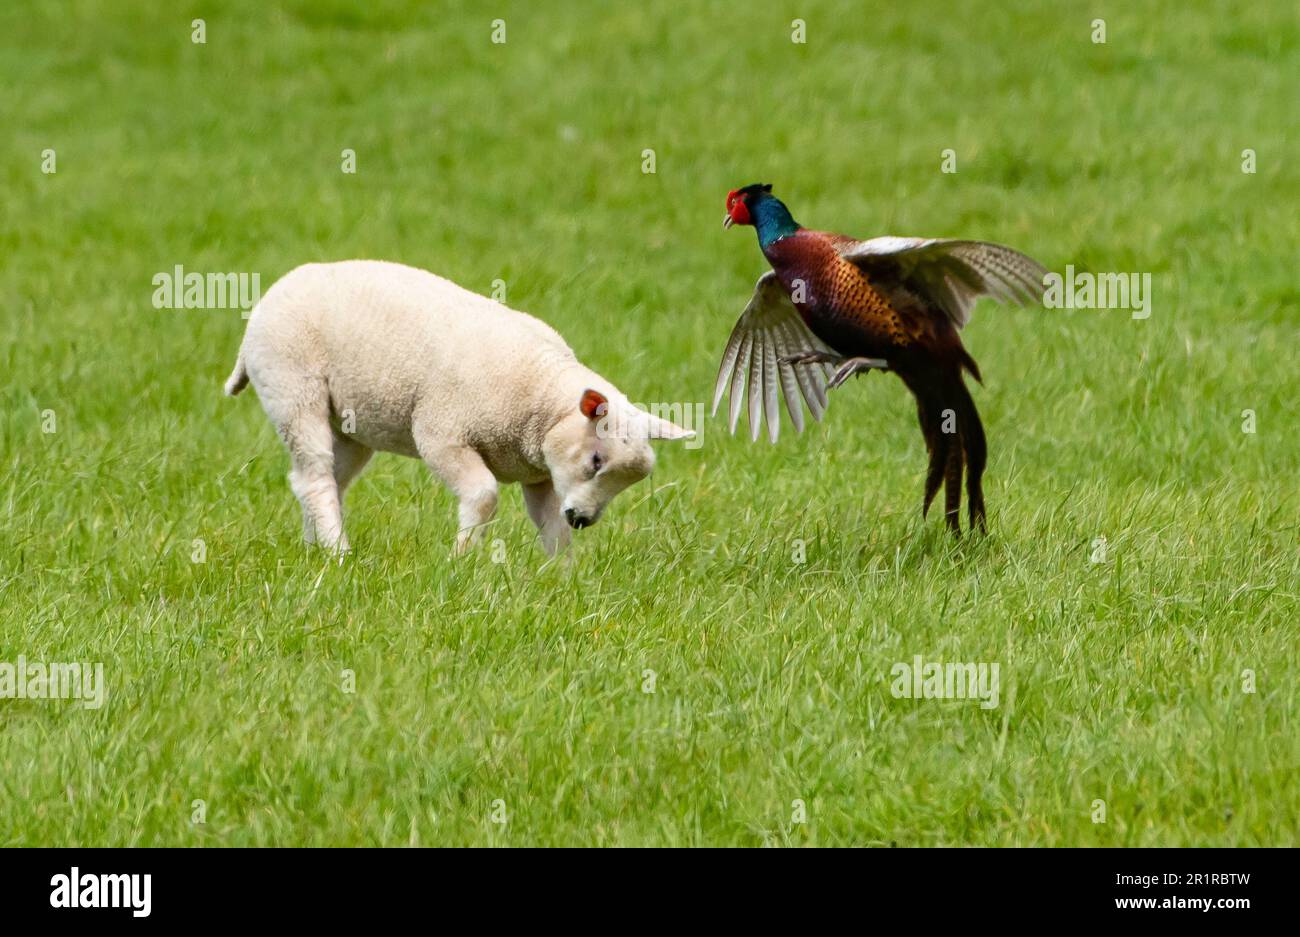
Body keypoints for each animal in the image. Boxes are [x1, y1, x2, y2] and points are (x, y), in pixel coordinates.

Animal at [224, 259, 696, 551]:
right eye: (597, 460)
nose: (583, 517)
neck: (539, 391)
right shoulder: (442, 434)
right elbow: (484, 496)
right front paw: (463, 557)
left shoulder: (542, 476)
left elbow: (552, 530)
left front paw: (564, 580)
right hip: (293, 389)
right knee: (315, 477)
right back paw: (340, 553)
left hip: (351, 425)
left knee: (320, 479)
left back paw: (317, 550)